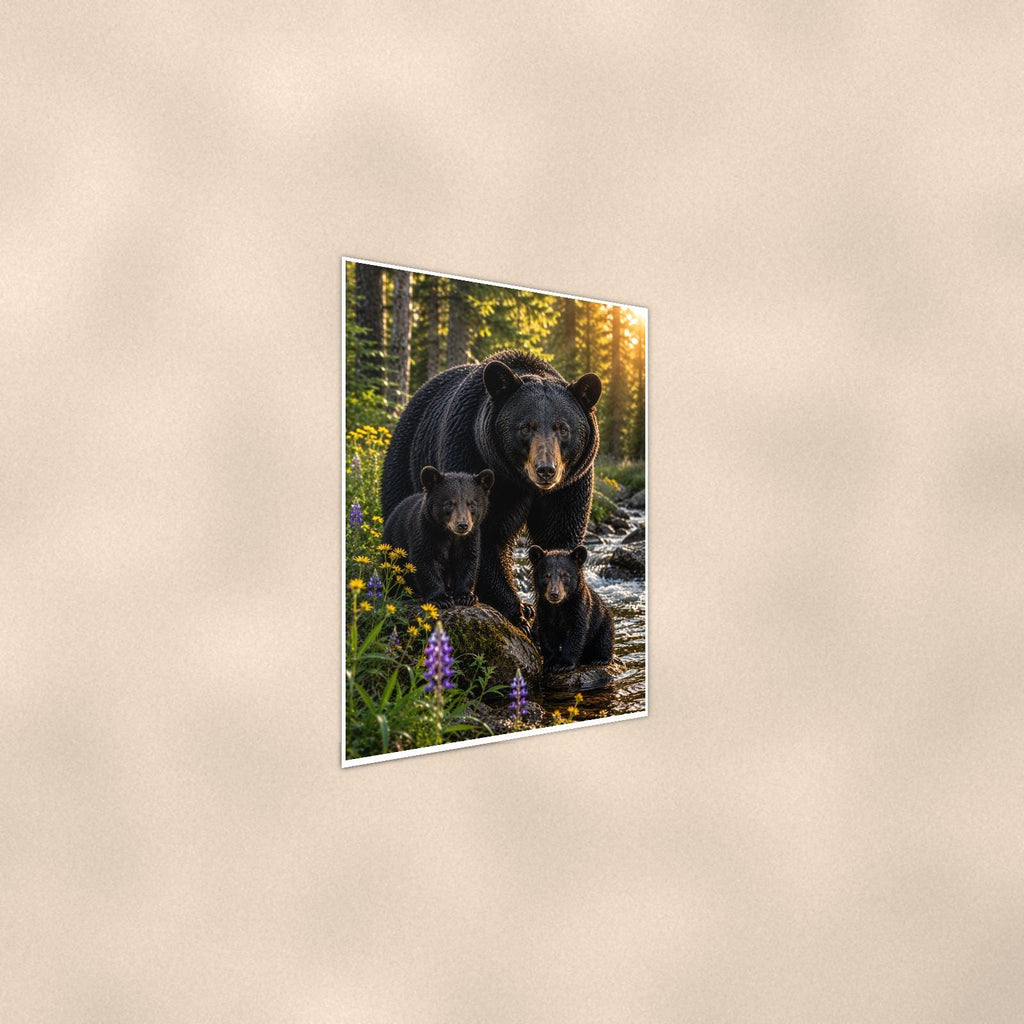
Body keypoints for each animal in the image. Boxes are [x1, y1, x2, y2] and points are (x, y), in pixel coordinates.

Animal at [383, 466, 494, 608]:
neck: (450, 534)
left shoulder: (470, 538)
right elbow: (426, 561)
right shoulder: (425, 532)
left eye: (472, 504)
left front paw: (466, 596)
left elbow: (468, 560)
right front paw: (440, 599)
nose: (463, 525)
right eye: (449, 504)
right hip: (393, 544)